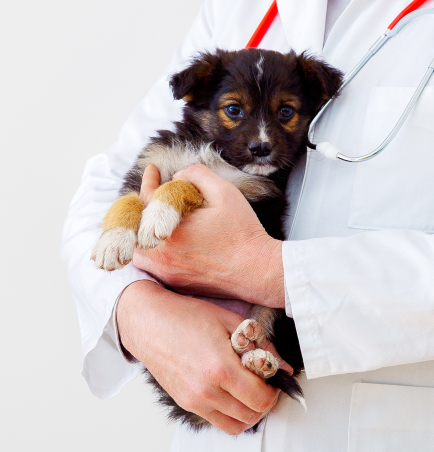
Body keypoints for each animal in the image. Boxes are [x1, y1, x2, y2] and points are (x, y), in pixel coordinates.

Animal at [91, 48, 342, 430]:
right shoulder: (149, 165)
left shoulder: (244, 192)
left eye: (286, 111)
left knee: (272, 361)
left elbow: (184, 183)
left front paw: (159, 215)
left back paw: (258, 359)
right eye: (233, 109)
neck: (213, 149)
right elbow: (128, 200)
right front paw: (113, 241)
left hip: (276, 312)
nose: (261, 148)